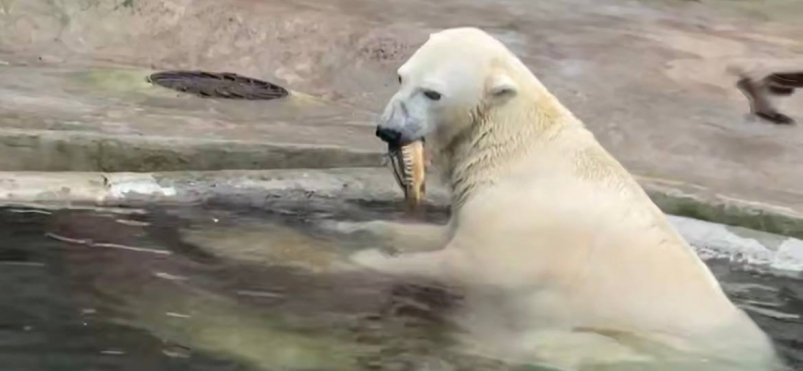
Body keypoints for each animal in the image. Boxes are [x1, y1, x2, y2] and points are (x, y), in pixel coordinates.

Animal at [342, 27, 784, 370]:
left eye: (432, 93)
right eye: (401, 77)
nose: (388, 130)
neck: (516, 142)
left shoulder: (516, 222)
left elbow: (462, 263)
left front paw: (361, 261)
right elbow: (443, 233)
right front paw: (358, 227)